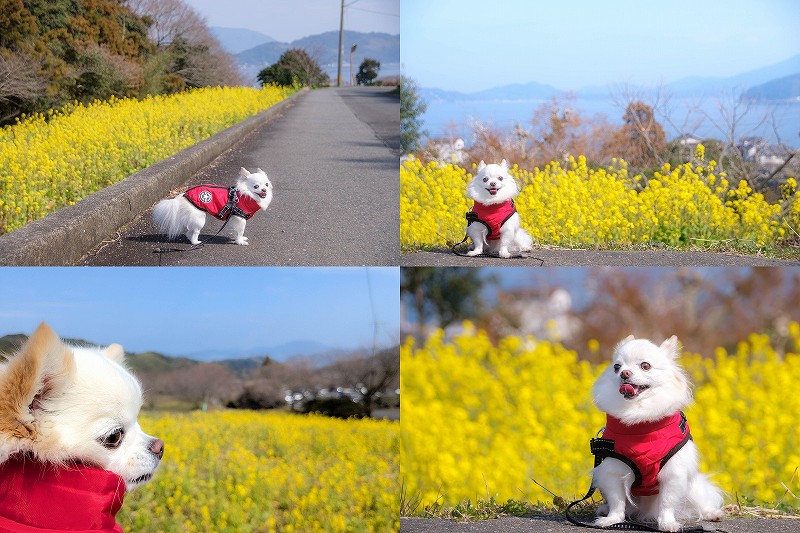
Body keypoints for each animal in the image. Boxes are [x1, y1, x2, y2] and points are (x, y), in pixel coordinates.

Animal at [588, 334, 724, 528]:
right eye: (617, 367)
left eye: (645, 366)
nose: (624, 373)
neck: (640, 422)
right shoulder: (613, 471)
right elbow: (617, 500)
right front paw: (612, 519)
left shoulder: (673, 472)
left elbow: (667, 502)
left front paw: (667, 524)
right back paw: (605, 510)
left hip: (694, 487)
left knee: (701, 502)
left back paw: (712, 513)